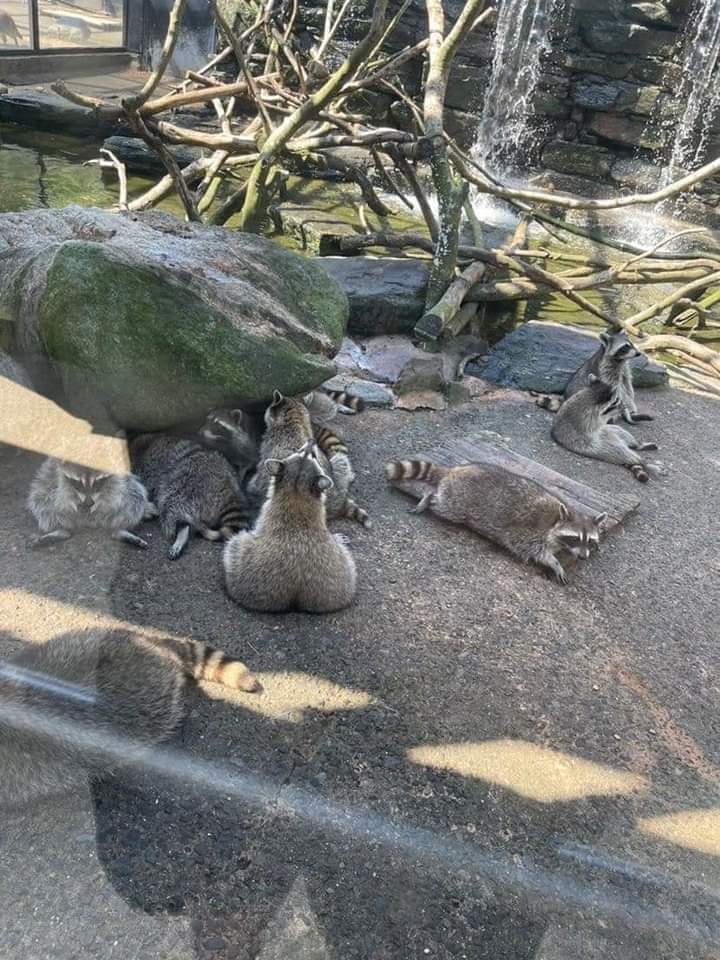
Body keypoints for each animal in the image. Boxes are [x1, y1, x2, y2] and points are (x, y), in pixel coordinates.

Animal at [386, 459, 606, 584]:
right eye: (575, 538)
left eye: (590, 540)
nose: (584, 557)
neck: (556, 520)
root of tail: (456, 470)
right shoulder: (529, 531)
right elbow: (532, 549)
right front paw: (554, 563)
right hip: (458, 501)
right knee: (442, 503)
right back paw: (428, 497)